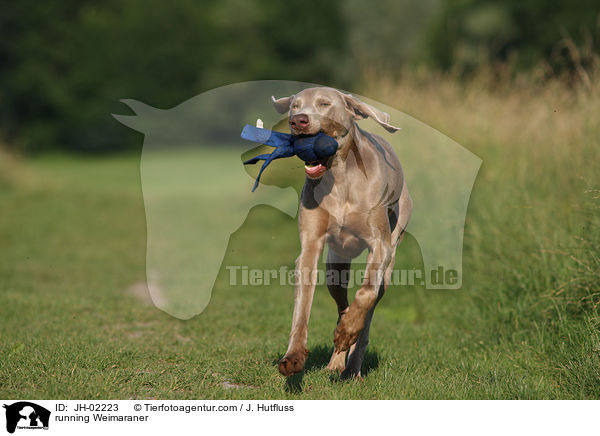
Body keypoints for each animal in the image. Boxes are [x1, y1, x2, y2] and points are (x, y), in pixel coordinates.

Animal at [272, 86, 412, 378]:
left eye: (325, 104)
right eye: (294, 106)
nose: (298, 121)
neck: (341, 177)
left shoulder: (380, 245)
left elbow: (366, 293)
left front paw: (347, 332)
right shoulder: (310, 247)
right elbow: (301, 309)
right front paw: (293, 356)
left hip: (392, 252)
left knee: (368, 311)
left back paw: (352, 364)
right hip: (335, 267)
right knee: (342, 304)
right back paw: (337, 361)